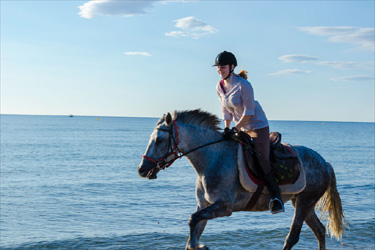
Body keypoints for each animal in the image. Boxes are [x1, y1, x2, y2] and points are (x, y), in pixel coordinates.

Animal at [138, 109, 346, 250]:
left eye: (159, 140)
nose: (142, 169)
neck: (212, 157)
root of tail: (325, 163)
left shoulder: (224, 207)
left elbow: (192, 221)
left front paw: (201, 246)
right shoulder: (204, 204)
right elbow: (194, 227)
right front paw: (197, 245)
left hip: (305, 202)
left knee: (293, 236)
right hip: (303, 202)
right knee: (319, 230)